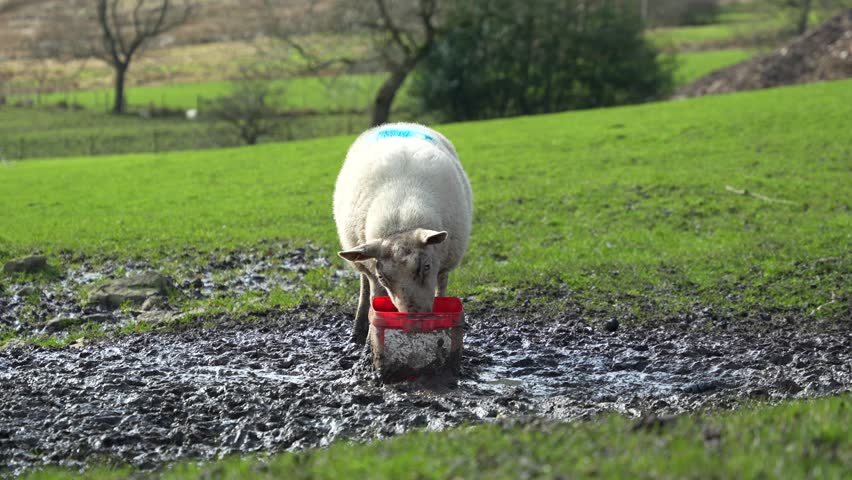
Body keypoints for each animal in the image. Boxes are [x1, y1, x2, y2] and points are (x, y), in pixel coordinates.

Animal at [334, 122, 473, 345]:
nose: (414, 317)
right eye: (383, 277)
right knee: (364, 287)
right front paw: (370, 338)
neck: (401, 219)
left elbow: (441, 289)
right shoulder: (374, 273)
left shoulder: (442, 265)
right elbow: (374, 297)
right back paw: (357, 329)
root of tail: (398, 124)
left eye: (426, 266)